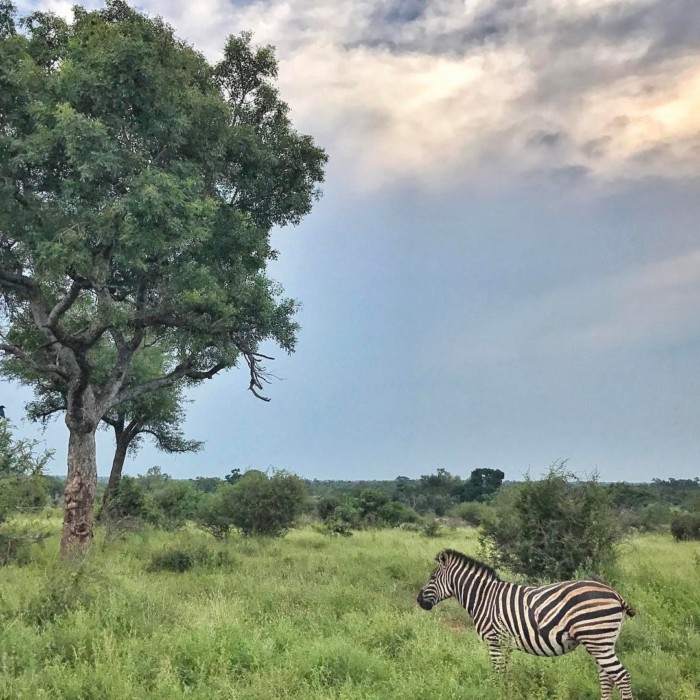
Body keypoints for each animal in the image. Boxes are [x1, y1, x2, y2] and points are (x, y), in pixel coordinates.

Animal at [418, 548, 636, 696]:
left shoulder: (494, 640)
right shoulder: (505, 644)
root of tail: (615, 593)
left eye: (432, 577)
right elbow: (505, 674)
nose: (419, 601)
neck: (484, 597)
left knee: (621, 676)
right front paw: (505, 694)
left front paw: (495, 694)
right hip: (603, 642)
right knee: (607, 677)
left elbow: (497, 674)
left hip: (597, 640)